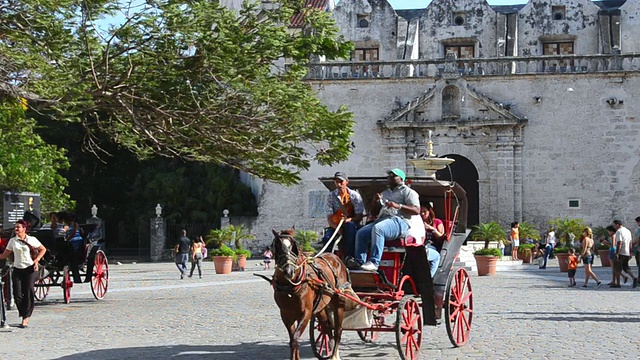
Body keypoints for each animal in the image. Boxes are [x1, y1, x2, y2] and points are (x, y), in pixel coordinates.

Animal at [270, 229, 350, 358]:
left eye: (294, 246)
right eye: (277, 245)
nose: (289, 271)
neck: (290, 288)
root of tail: (334, 256)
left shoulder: (306, 313)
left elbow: (295, 339)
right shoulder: (286, 314)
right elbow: (293, 340)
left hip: (339, 303)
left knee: (338, 330)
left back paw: (334, 355)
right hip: (321, 307)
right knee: (327, 327)